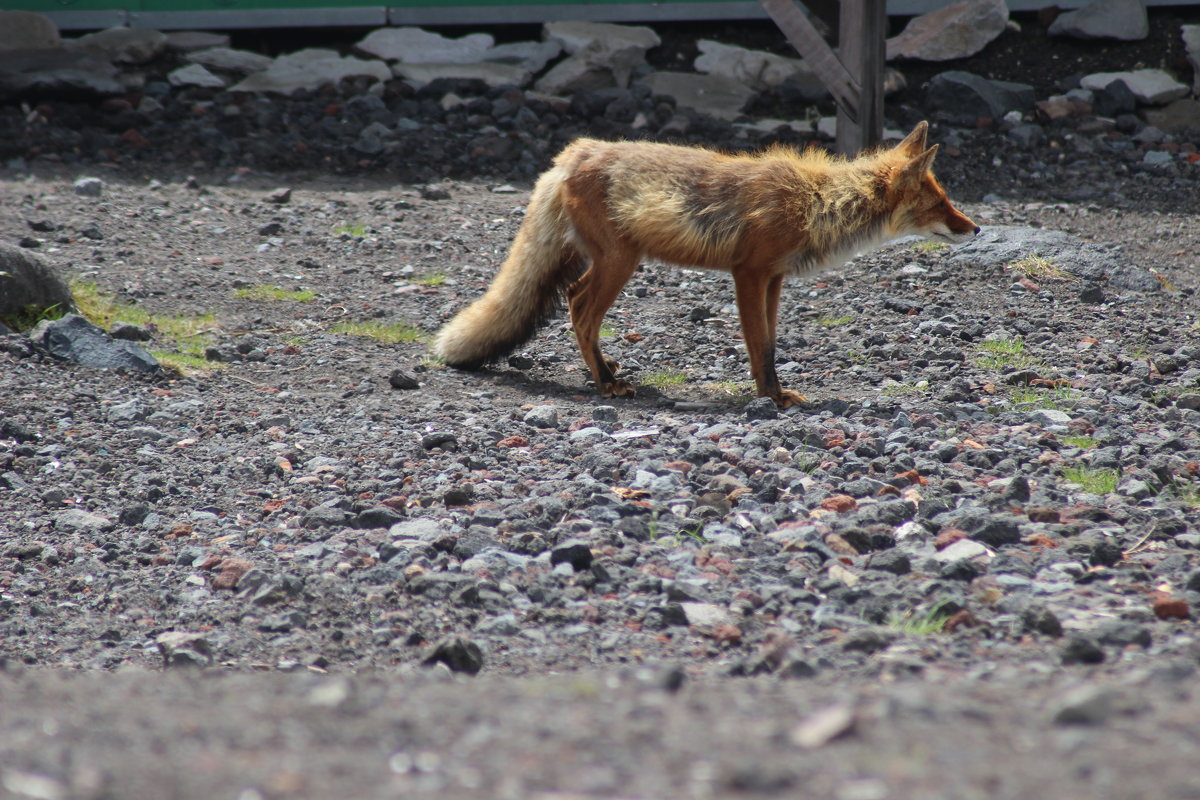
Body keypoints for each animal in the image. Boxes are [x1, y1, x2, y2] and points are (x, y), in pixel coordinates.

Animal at [436, 120, 979, 407]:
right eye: (940, 204)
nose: (976, 229)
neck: (815, 202)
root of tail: (572, 154)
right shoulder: (749, 273)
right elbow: (760, 345)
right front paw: (772, 399)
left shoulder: (775, 278)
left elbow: (769, 344)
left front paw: (774, 393)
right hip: (620, 262)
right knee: (581, 310)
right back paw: (606, 383)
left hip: (608, 260)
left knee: (571, 299)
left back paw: (606, 372)